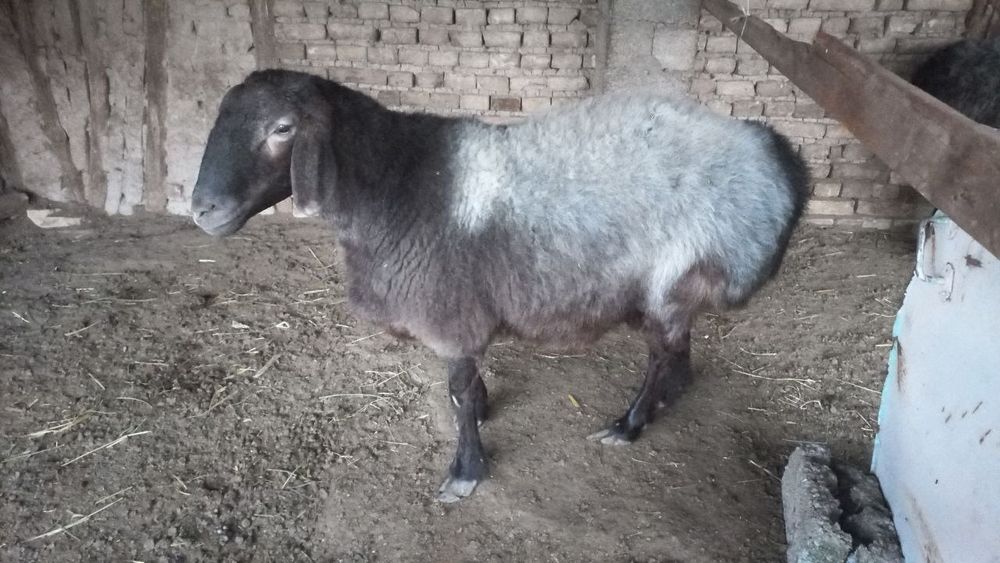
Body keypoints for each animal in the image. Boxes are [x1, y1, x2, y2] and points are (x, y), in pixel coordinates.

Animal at [191, 70, 809, 502]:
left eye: (283, 129)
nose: (203, 210)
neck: (394, 188)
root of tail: (775, 152)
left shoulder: (450, 313)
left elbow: (460, 393)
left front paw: (466, 471)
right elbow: (461, 388)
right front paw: (483, 412)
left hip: (675, 279)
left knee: (663, 358)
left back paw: (628, 425)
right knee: (678, 357)